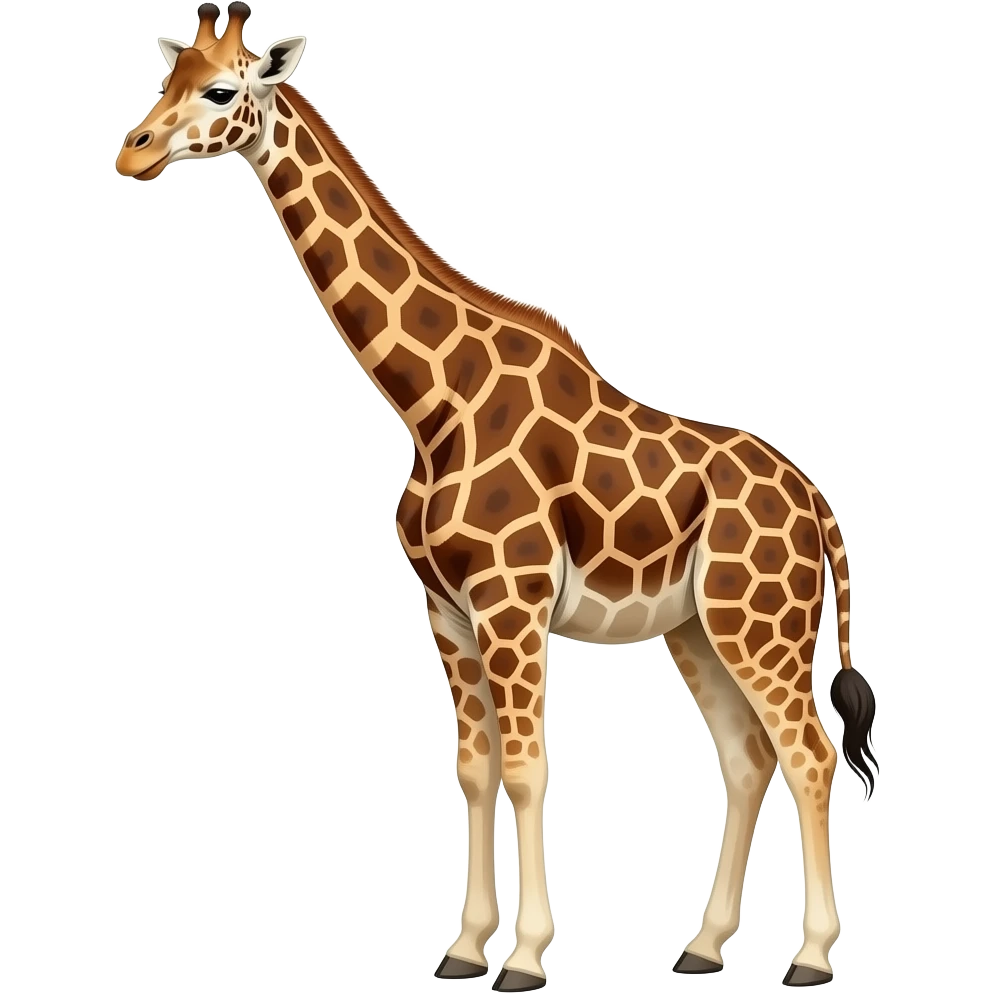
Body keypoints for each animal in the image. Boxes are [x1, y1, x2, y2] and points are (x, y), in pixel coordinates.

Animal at [115, 4, 877, 989]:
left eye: (219, 90)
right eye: (165, 79)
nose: (132, 152)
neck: (430, 405)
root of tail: (817, 502)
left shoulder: (511, 602)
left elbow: (525, 768)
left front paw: (523, 957)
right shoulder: (445, 608)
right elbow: (473, 769)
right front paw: (464, 947)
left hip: (760, 625)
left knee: (809, 751)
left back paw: (811, 957)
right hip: (697, 628)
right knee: (748, 759)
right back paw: (703, 948)